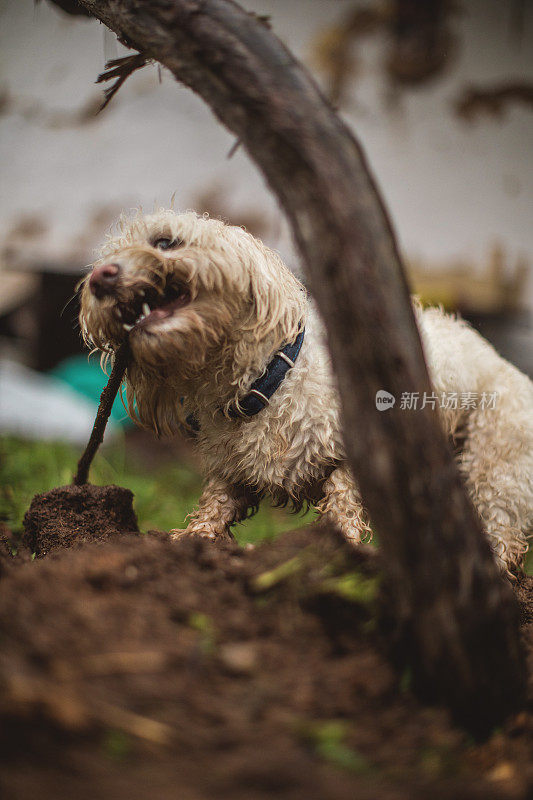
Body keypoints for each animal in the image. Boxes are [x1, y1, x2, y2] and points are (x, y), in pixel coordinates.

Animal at [80, 208, 532, 576]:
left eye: (165, 242)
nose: (99, 278)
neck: (267, 384)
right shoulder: (233, 467)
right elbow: (217, 502)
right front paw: (190, 542)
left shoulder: (353, 457)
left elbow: (343, 502)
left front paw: (341, 551)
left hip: (496, 465)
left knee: (500, 526)